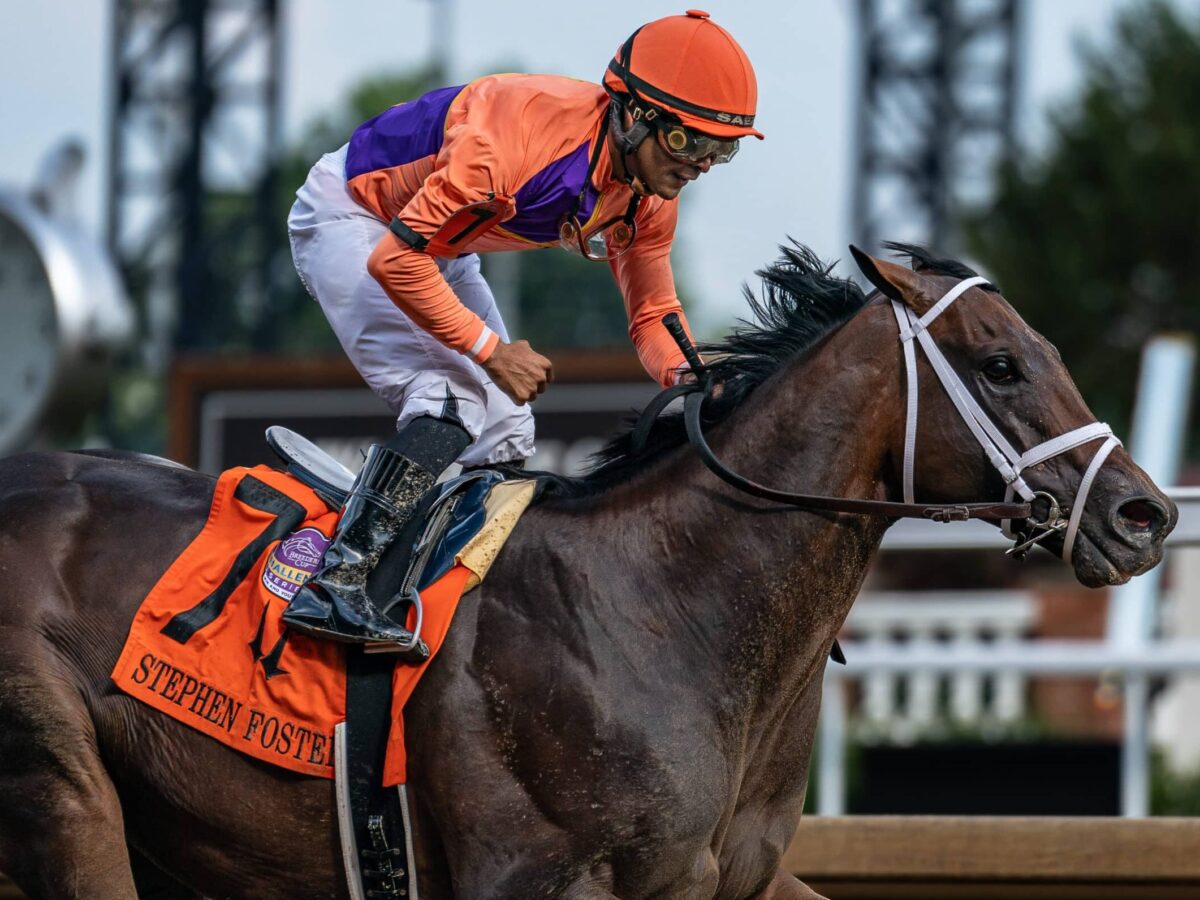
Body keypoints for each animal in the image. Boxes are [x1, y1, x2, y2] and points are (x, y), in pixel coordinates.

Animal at [0, 243, 1176, 897]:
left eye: (1048, 351)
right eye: (1002, 363)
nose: (1145, 513)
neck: (666, 602)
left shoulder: (731, 882)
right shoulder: (540, 877)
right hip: (64, 793)